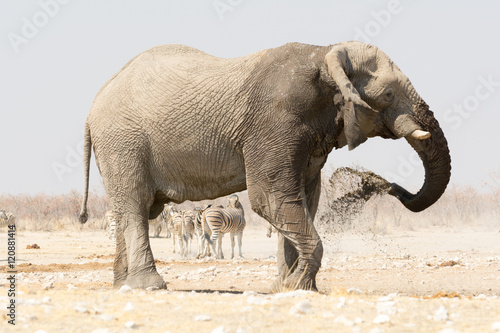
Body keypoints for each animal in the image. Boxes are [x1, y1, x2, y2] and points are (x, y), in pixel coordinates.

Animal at [79, 40, 454, 290]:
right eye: (389, 94)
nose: (380, 184)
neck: (324, 53)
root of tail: (93, 105)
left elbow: (304, 199)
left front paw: (290, 287)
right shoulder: (274, 121)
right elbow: (271, 199)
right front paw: (298, 286)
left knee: (130, 209)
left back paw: (123, 285)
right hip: (123, 142)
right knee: (135, 205)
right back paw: (150, 286)